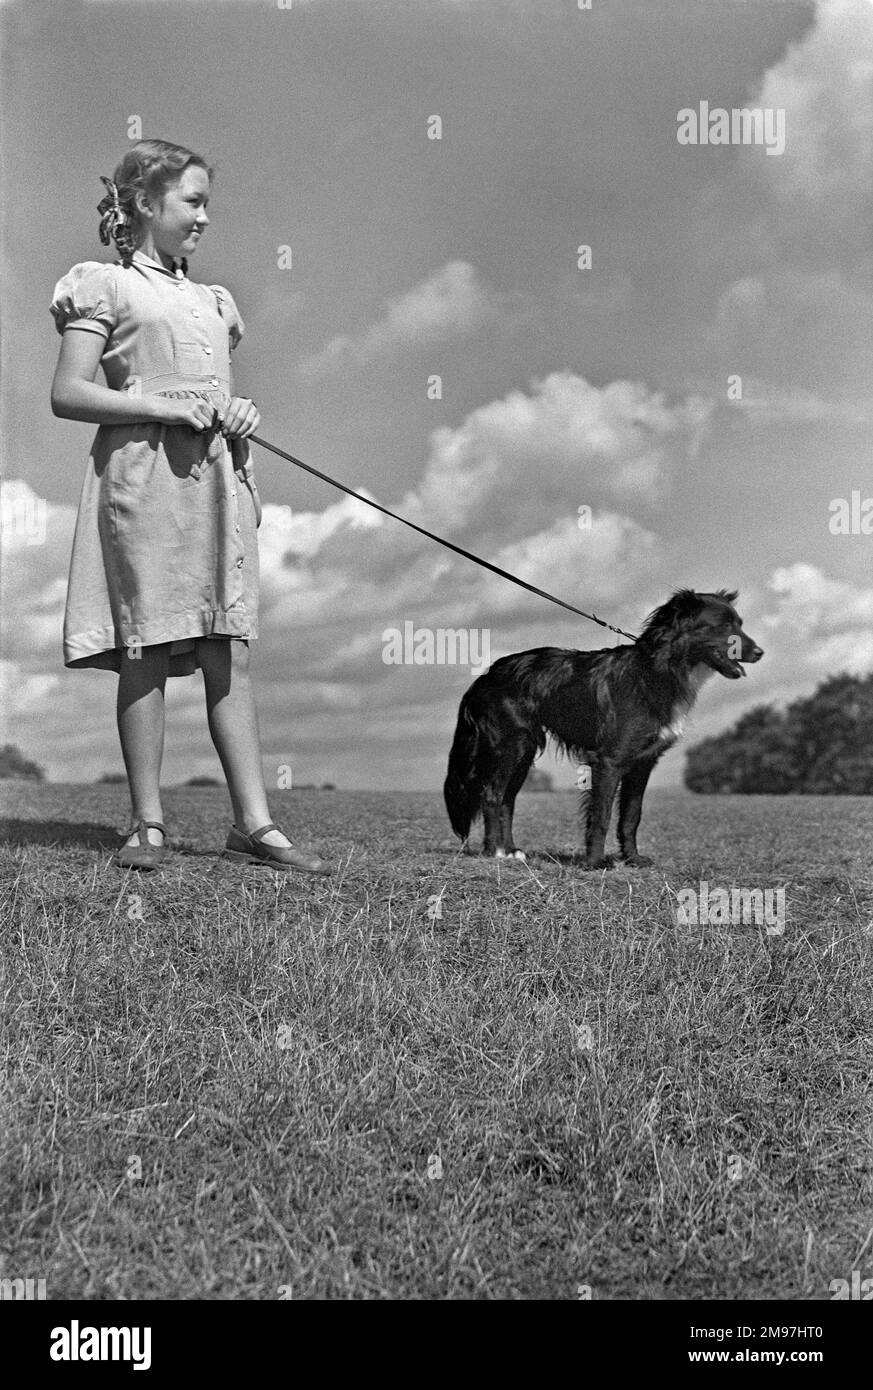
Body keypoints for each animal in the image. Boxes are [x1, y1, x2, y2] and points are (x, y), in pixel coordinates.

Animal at [442, 586, 761, 867]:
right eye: (723, 625)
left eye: (740, 624)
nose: (760, 652)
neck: (659, 670)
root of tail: (484, 677)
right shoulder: (609, 760)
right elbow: (602, 815)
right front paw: (594, 862)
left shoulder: (643, 762)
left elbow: (631, 816)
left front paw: (632, 859)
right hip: (510, 745)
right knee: (491, 796)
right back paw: (493, 852)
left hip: (524, 750)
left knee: (507, 800)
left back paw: (510, 851)